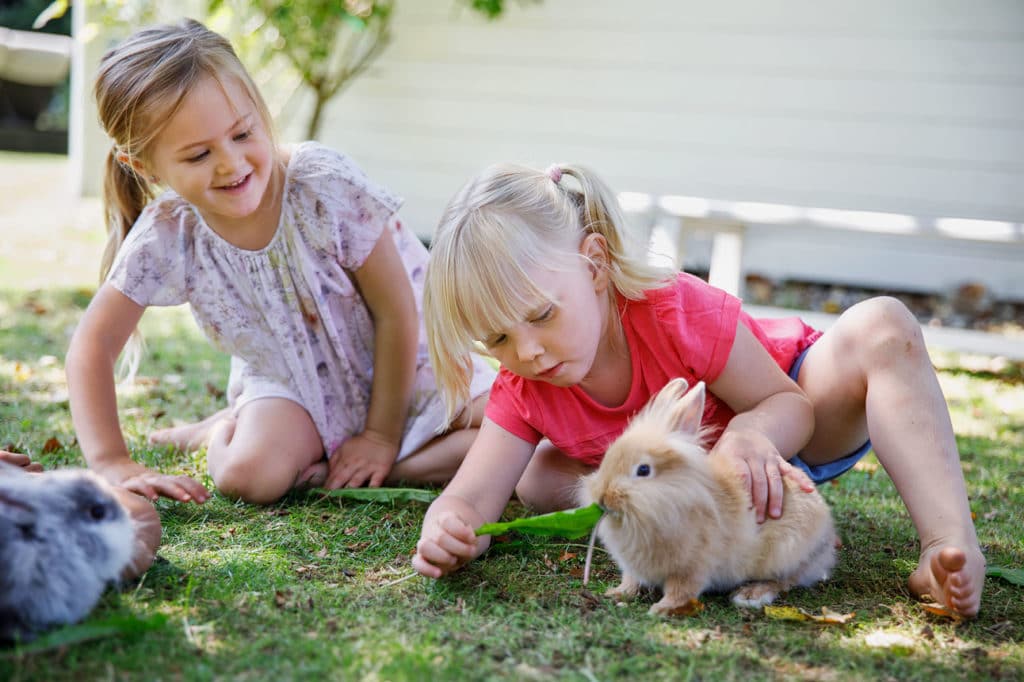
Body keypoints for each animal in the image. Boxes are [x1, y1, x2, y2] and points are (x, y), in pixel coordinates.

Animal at [581, 376, 835, 614]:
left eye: (643, 470)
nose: (602, 497)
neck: (671, 498)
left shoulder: (693, 567)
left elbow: (680, 591)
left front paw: (661, 609)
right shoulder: (634, 567)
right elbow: (631, 580)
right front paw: (617, 593)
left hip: (784, 553)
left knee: (786, 580)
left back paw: (751, 594)